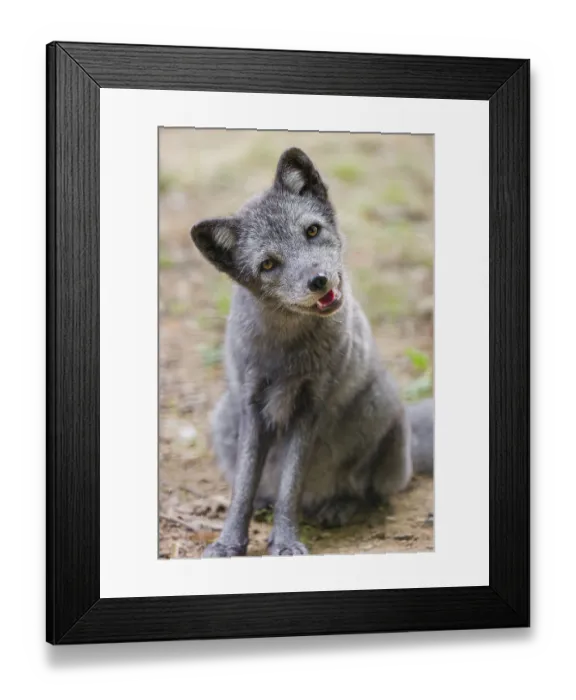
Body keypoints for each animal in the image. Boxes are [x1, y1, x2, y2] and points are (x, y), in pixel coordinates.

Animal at [190, 147, 434, 557]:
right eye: (268, 264)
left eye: (312, 231)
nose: (318, 281)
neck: (286, 352)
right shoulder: (252, 406)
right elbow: (243, 485)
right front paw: (229, 542)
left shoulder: (309, 406)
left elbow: (291, 485)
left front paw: (286, 541)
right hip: (224, 416)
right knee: (262, 487)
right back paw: (265, 504)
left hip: (380, 407)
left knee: (371, 493)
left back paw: (339, 506)